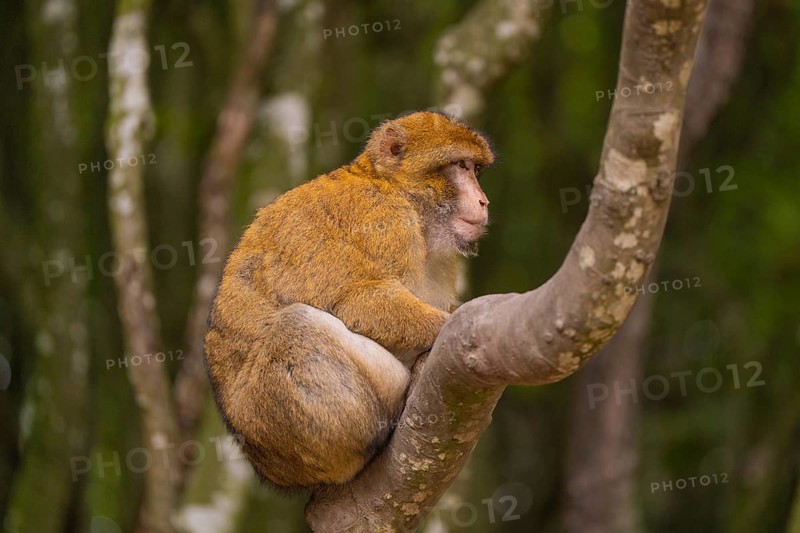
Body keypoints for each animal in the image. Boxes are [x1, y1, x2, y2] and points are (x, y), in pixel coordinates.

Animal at [205, 111, 494, 490]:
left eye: (476, 169)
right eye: (460, 165)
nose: (483, 201)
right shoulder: (383, 218)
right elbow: (359, 299)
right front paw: (451, 327)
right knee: (294, 327)